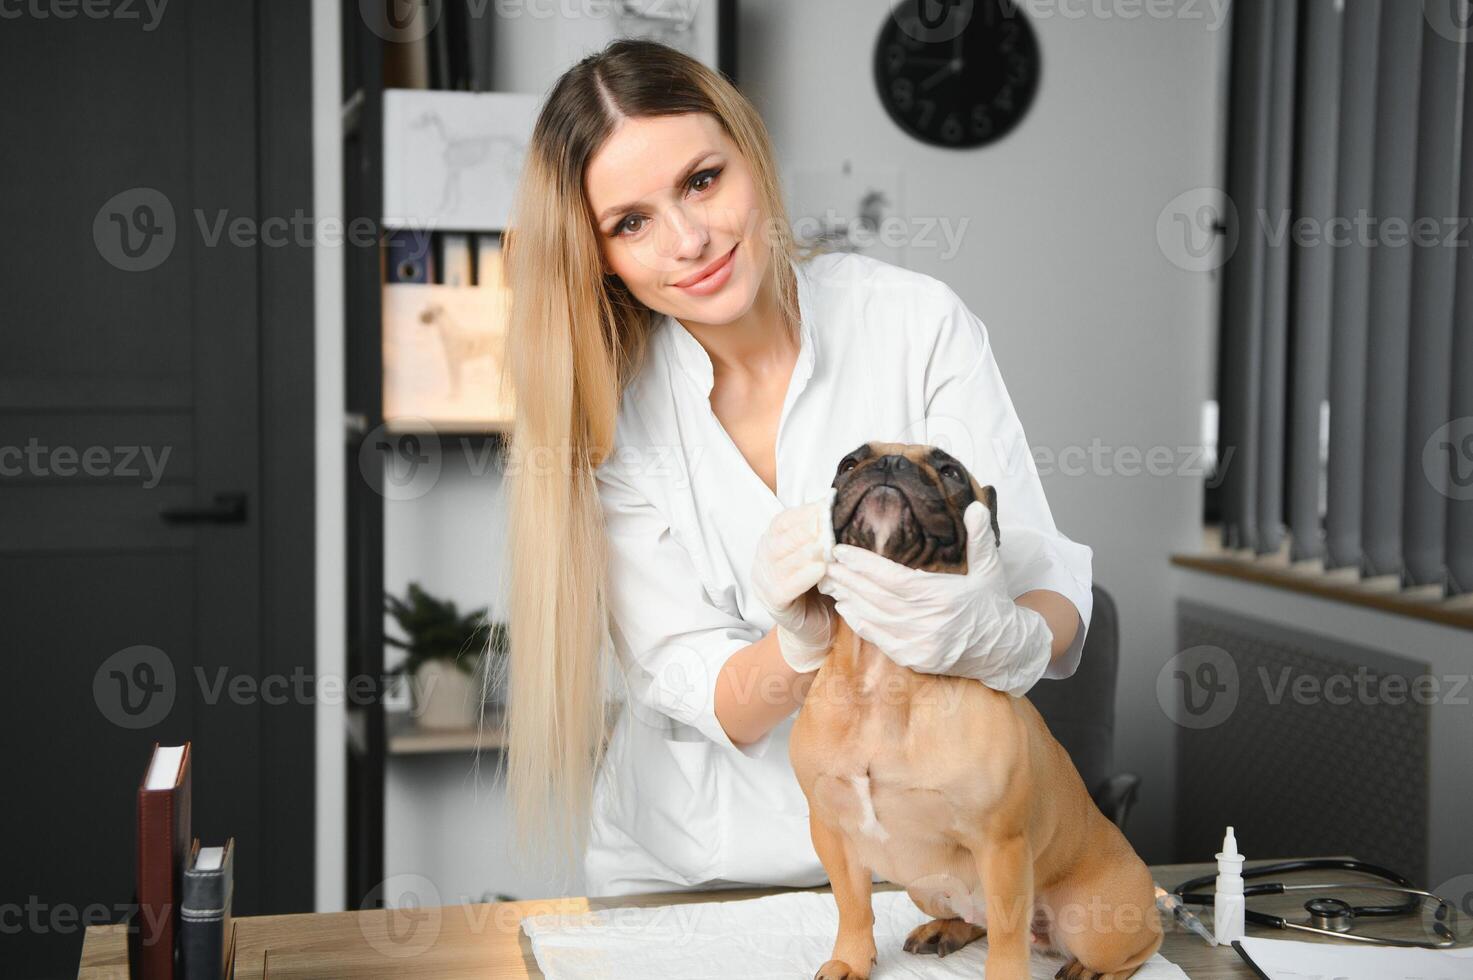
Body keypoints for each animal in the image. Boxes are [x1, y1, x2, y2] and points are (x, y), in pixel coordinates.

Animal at [795, 442, 1160, 978]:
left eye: (949, 471)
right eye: (848, 464)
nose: (889, 465)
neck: (887, 671)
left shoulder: (1000, 846)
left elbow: (1008, 938)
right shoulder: (833, 833)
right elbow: (853, 906)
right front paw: (850, 960)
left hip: (1095, 922)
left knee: (1139, 945)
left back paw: (1090, 968)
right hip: (924, 885)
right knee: (974, 919)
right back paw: (944, 929)